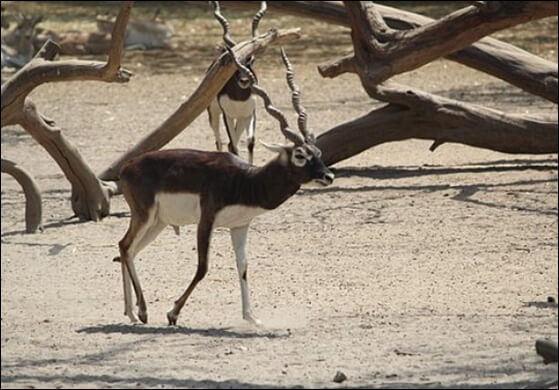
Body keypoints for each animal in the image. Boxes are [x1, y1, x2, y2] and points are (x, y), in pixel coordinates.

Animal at [113, 46, 332, 326]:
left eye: (318, 151)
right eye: (300, 155)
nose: (328, 176)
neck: (246, 181)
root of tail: (127, 167)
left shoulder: (239, 226)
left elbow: (244, 267)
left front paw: (251, 317)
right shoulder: (206, 220)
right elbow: (202, 267)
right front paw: (173, 313)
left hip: (158, 222)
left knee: (128, 250)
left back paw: (133, 312)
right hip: (145, 215)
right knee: (125, 245)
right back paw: (140, 311)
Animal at [207, 0, 268, 164]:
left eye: (251, 60)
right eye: (234, 62)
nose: (245, 80)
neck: (239, 98)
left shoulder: (250, 114)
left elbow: (250, 143)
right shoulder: (227, 115)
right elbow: (234, 145)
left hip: (240, 119)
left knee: (229, 143)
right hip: (214, 113)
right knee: (219, 141)